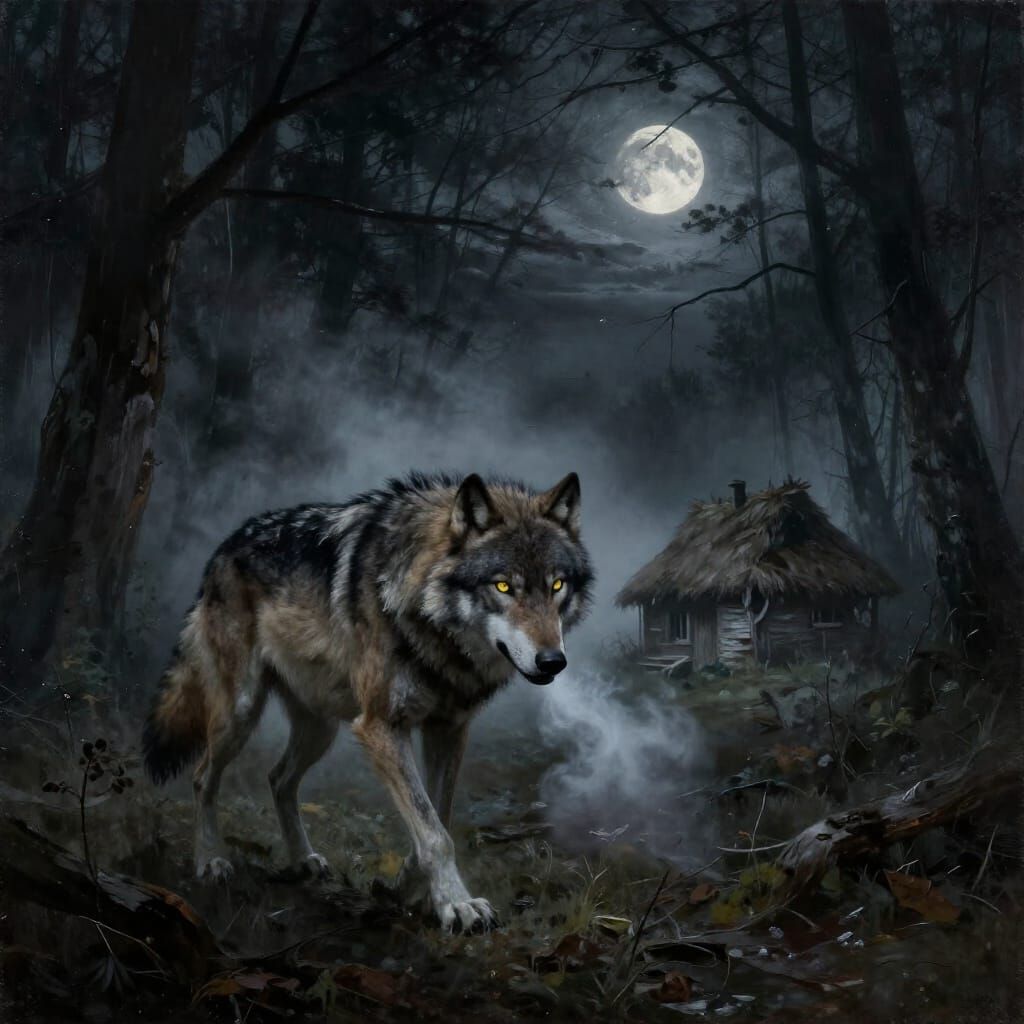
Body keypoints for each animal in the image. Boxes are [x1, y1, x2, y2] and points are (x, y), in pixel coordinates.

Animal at [143, 471, 592, 931]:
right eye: (503, 586)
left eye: (557, 585)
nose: (552, 661)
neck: (429, 626)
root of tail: (223, 548)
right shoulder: (381, 726)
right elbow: (434, 832)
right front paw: (458, 905)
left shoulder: (448, 729)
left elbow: (438, 818)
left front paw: (410, 889)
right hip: (242, 711)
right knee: (203, 776)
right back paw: (210, 860)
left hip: (321, 729)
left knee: (279, 778)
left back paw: (303, 860)